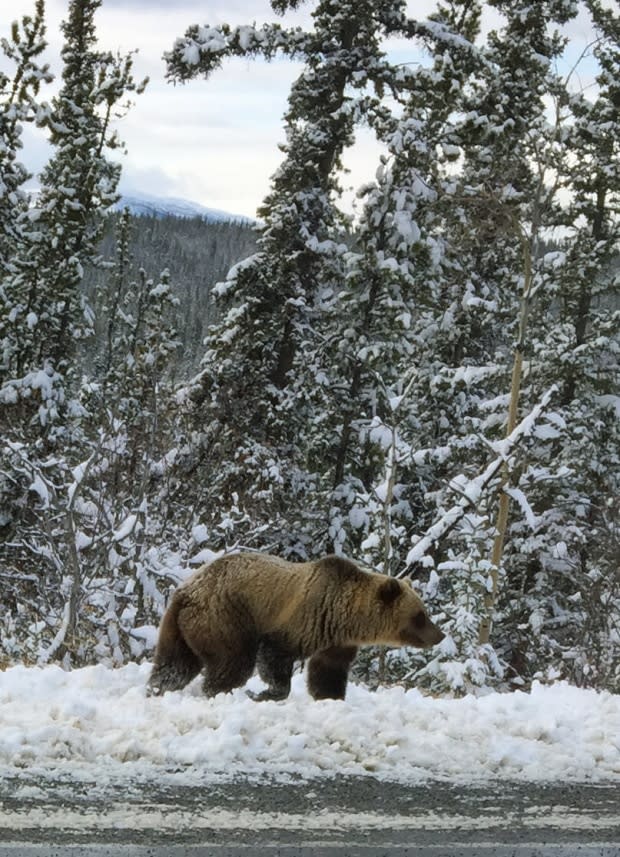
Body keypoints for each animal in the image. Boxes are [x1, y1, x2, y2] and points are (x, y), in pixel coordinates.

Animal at [148, 556, 444, 704]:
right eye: (420, 616)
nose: (439, 635)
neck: (343, 617)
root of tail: (185, 591)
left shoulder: (335, 642)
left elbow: (327, 671)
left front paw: (330, 697)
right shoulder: (299, 621)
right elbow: (274, 657)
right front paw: (266, 693)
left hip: (179, 627)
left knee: (175, 664)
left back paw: (157, 689)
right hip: (224, 618)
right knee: (233, 662)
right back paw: (217, 691)